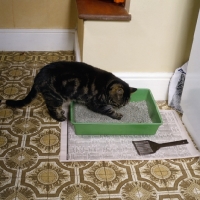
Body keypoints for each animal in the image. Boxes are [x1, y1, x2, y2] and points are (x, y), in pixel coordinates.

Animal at [6, 61, 138, 122]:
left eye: (124, 105)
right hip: (56, 97)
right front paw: (117, 115)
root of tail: (38, 76)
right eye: (119, 104)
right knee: (51, 108)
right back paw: (59, 117)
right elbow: (108, 110)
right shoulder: (96, 104)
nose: (120, 107)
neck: (106, 86)